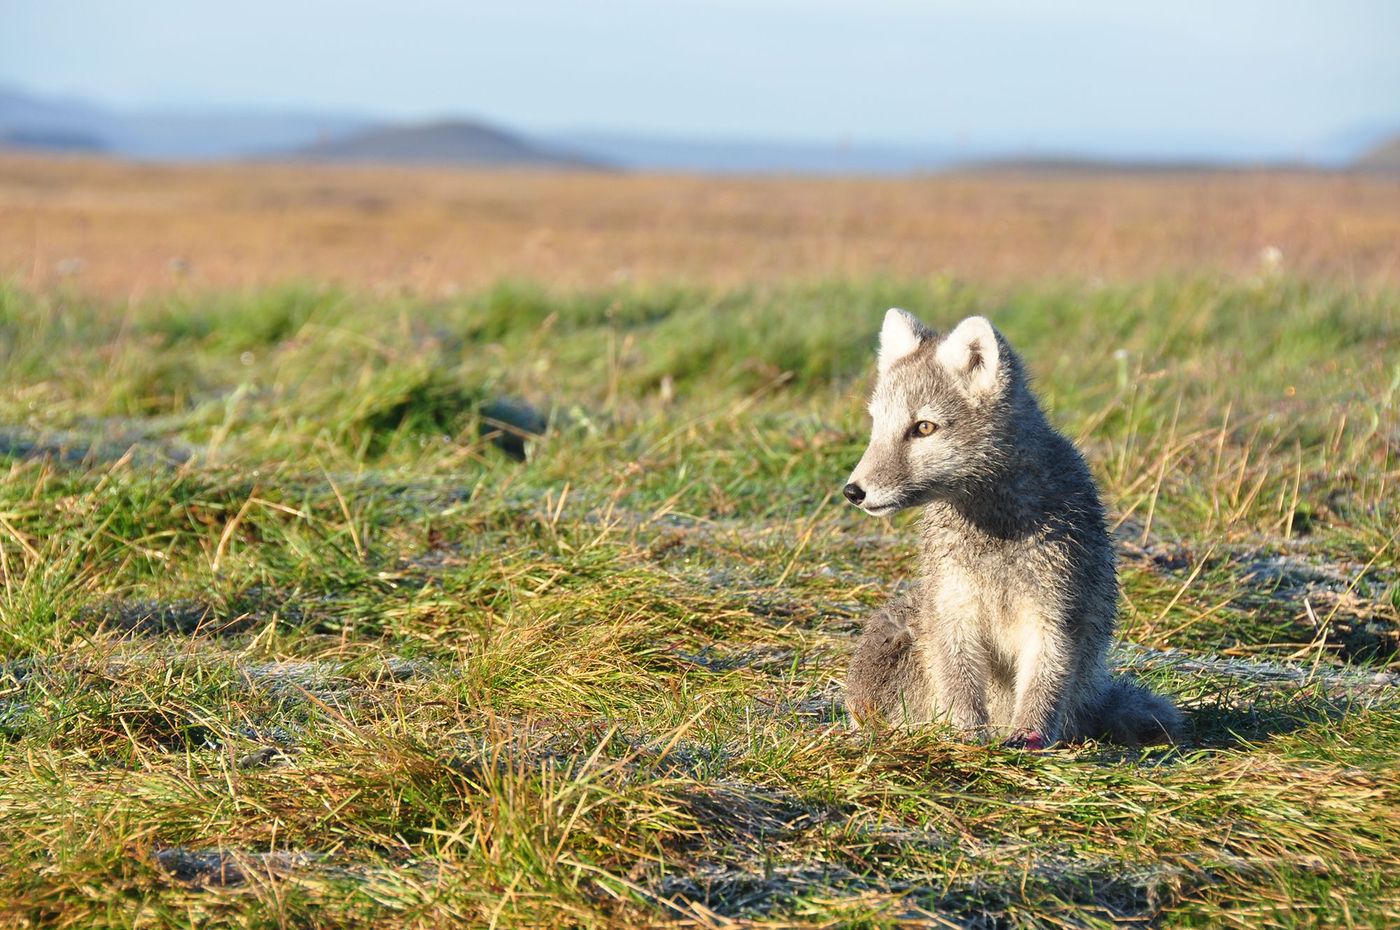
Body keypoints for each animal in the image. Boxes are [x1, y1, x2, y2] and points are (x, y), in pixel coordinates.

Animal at [841, 309, 1181, 748]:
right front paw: (966, 738)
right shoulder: (954, 609)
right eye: (876, 424)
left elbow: (1042, 688)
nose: (853, 491)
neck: (996, 533)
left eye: (924, 428)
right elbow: (960, 688)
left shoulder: (1054, 613)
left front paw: (1027, 738)